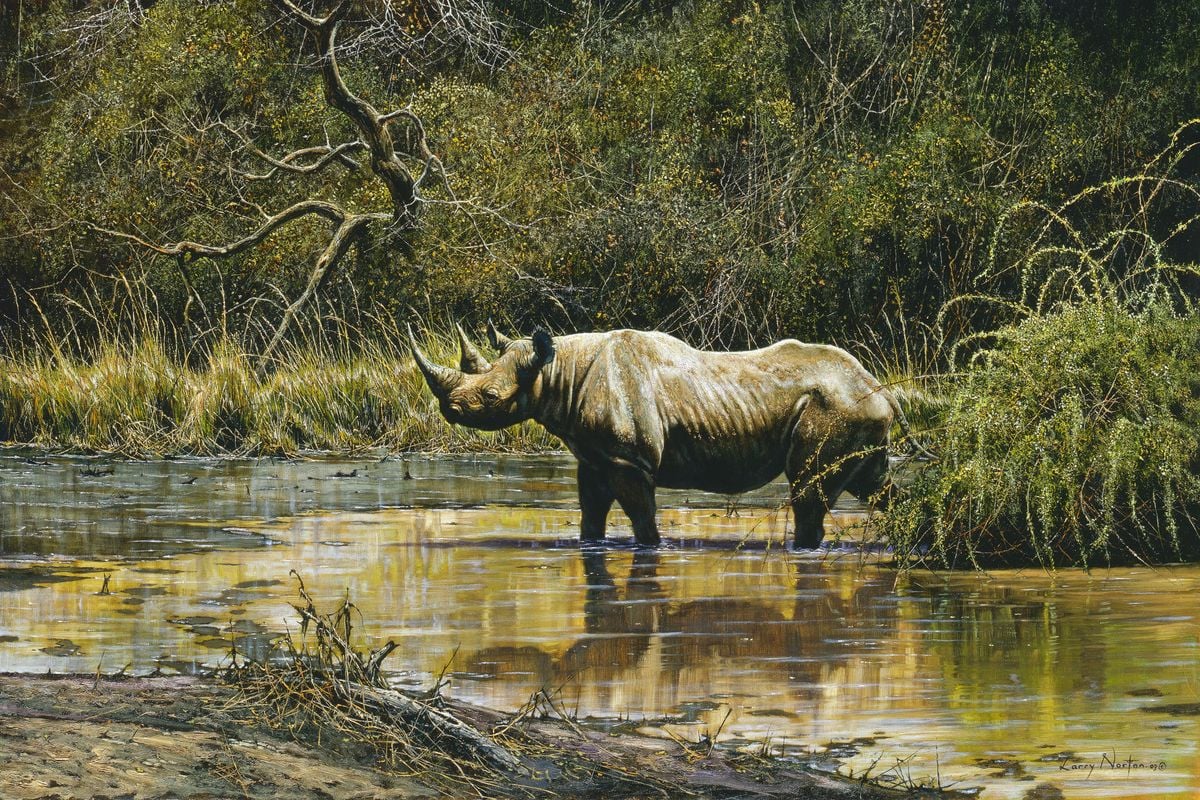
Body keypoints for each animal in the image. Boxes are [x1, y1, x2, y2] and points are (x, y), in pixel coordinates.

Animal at [409, 322, 911, 549]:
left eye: (491, 396)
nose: (449, 410)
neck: (557, 372)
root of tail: (883, 390)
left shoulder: (629, 459)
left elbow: (641, 516)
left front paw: (652, 548)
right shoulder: (595, 456)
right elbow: (591, 512)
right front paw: (590, 544)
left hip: (838, 406)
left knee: (809, 489)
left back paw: (801, 550)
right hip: (858, 409)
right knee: (874, 483)